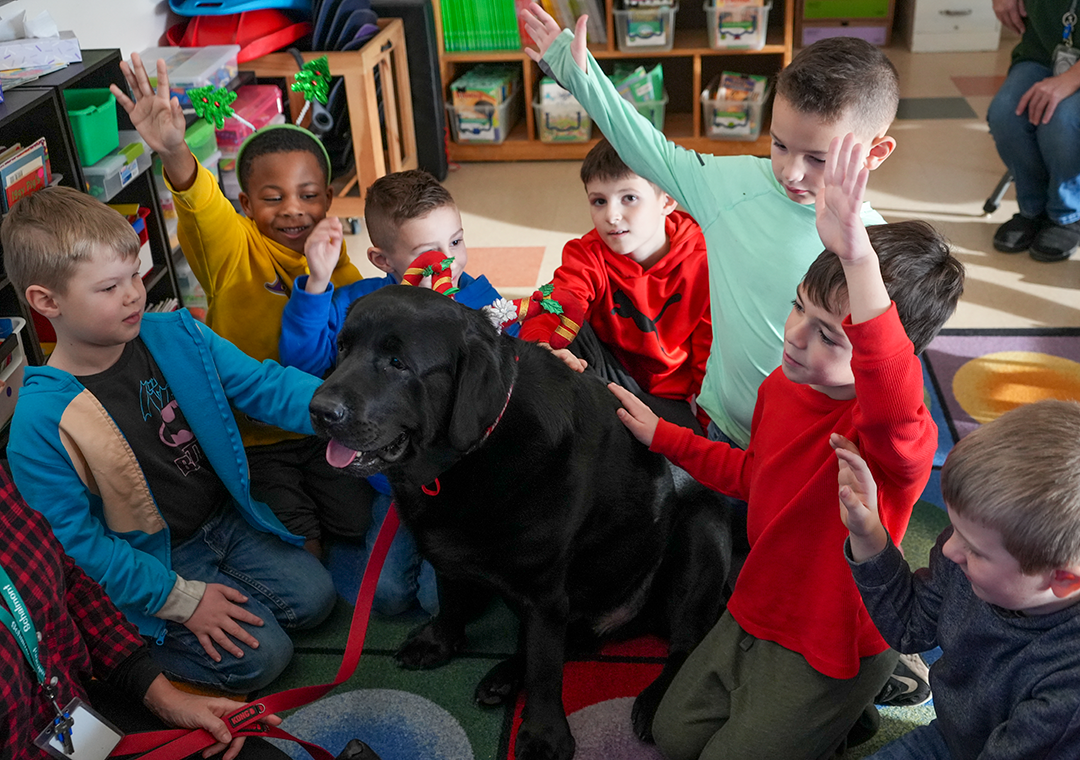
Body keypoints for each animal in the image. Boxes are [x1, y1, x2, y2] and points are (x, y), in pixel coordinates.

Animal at [308, 287, 730, 760]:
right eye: (342, 348)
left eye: (397, 362)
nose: (319, 410)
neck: (464, 460)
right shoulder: (446, 554)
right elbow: (451, 601)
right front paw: (439, 643)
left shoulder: (544, 591)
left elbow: (546, 668)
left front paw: (543, 736)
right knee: (571, 640)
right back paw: (505, 676)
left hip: (701, 533)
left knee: (684, 644)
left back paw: (654, 700)